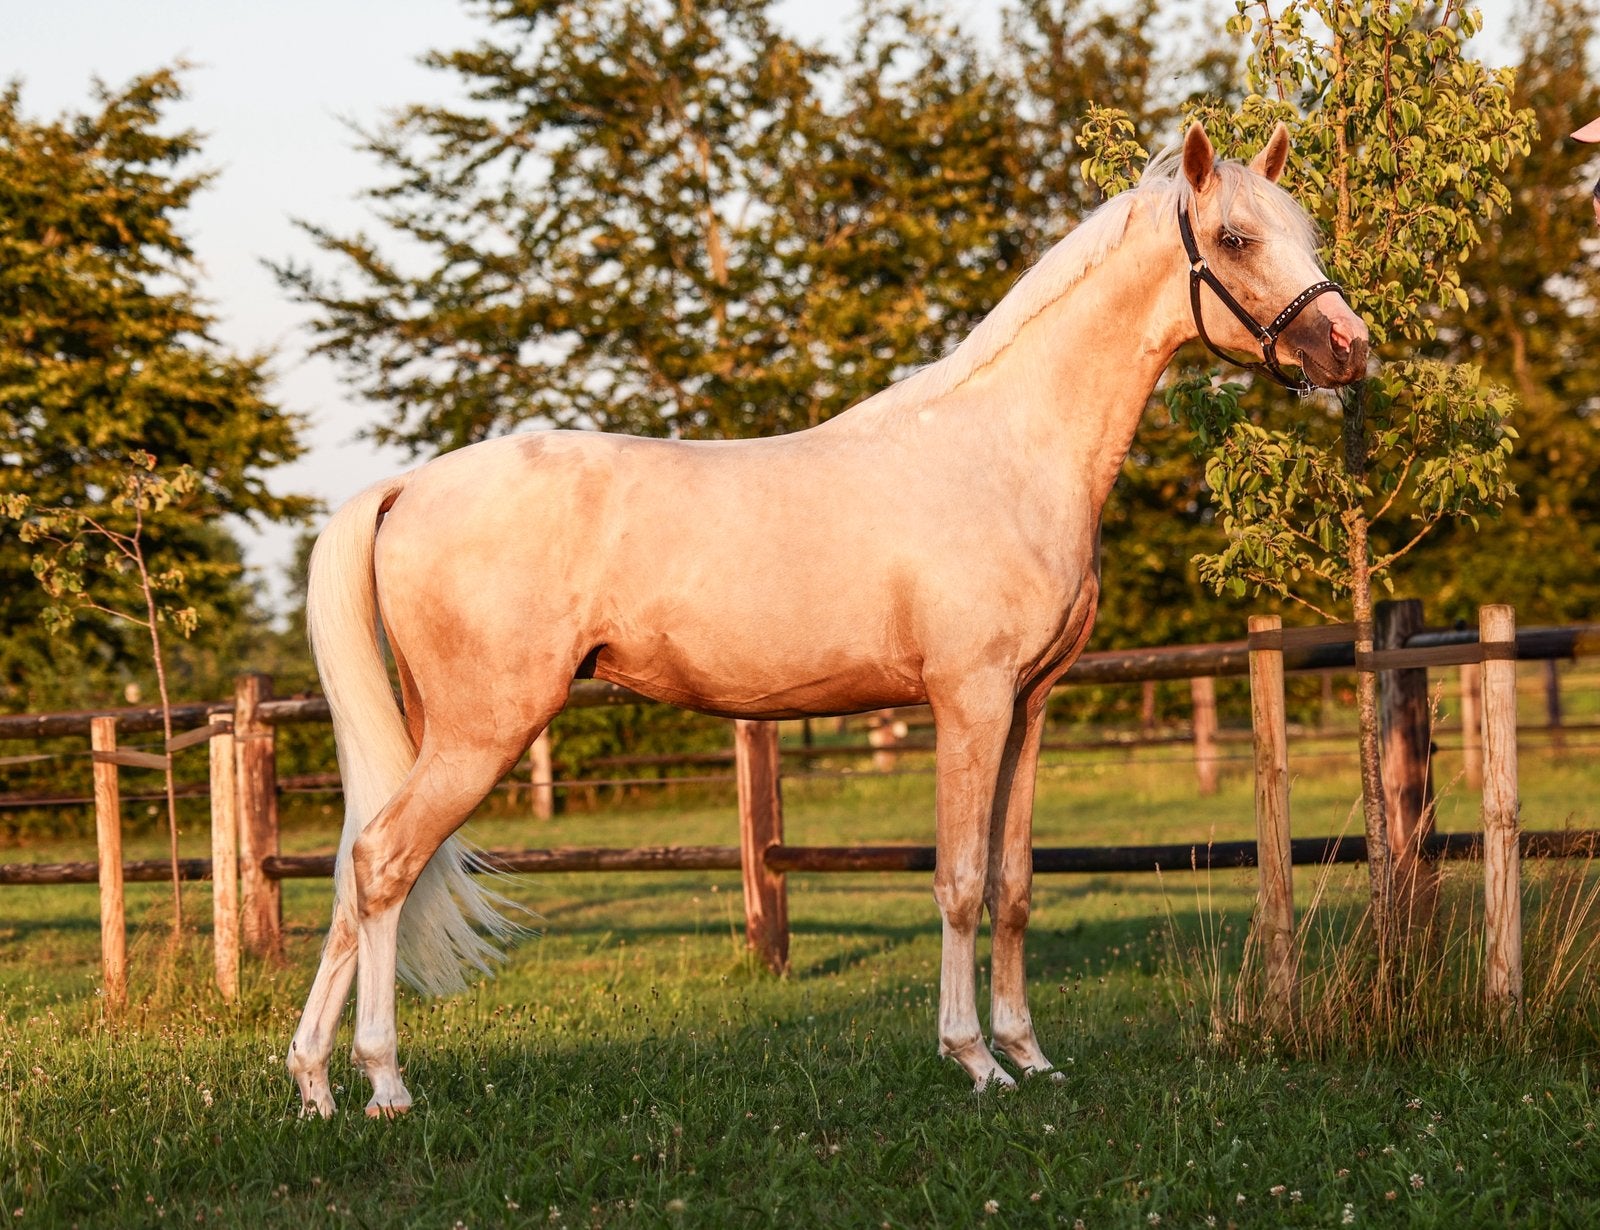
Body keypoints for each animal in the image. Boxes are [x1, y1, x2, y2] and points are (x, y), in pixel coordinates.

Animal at [287, 122, 1371, 1117]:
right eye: (1234, 238)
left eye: (1304, 230)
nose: (1350, 349)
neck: (1005, 450)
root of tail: (408, 486)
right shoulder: (969, 702)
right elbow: (961, 880)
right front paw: (973, 1060)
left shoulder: (1030, 706)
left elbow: (1015, 883)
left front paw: (1029, 1055)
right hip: (483, 732)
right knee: (383, 864)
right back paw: (384, 1084)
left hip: (432, 731)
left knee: (354, 871)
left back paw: (316, 1086)